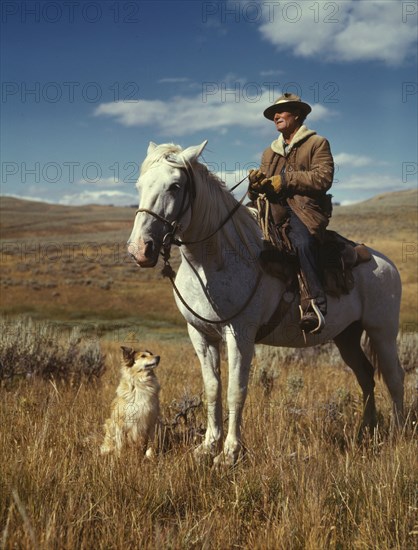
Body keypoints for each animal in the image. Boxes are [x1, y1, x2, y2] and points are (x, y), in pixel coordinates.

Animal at [128, 141, 404, 466]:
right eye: (139, 185)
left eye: (175, 186)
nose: (140, 249)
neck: (216, 259)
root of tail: (385, 263)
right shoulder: (199, 334)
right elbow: (212, 388)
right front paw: (207, 446)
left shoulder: (240, 334)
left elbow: (235, 391)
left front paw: (230, 453)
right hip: (346, 335)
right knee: (366, 376)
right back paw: (365, 431)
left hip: (382, 331)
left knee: (394, 377)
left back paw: (398, 434)